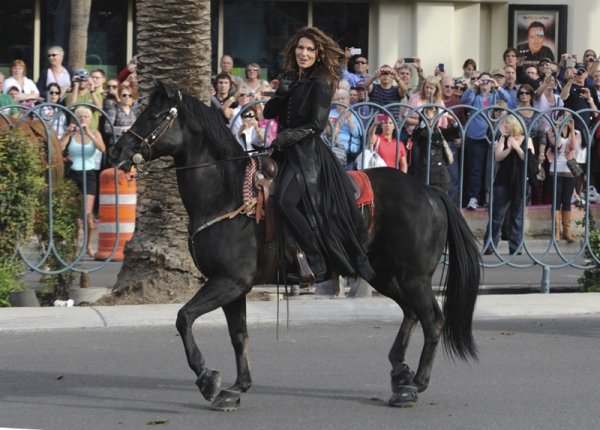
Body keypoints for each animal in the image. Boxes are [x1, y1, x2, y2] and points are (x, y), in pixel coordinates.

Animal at [110, 82, 480, 412]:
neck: (225, 194)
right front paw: (236, 388)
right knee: (411, 313)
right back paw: (400, 373)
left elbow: (184, 318)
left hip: (411, 277)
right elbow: (238, 336)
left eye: (154, 115)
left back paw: (414, 385)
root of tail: (431, 192)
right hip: (386, 275)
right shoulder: (233, 286)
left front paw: (207, 380)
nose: (116, 150)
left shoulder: (228, 282)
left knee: (432, 319)